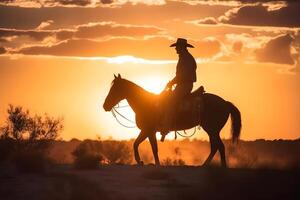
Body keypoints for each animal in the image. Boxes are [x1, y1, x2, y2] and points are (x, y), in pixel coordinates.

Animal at [103, 73, 241, 167]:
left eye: (115, 89)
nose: (105, 105)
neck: (146, 103)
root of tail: (225, 103)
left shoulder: (148, 130)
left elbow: (150, 147)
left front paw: (145, 162)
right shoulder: (147, 131)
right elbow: (138, 144)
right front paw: (142, 161)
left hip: (212, 130)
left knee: (219, 146)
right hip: (212, 131)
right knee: (216, 147)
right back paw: (206, 165)